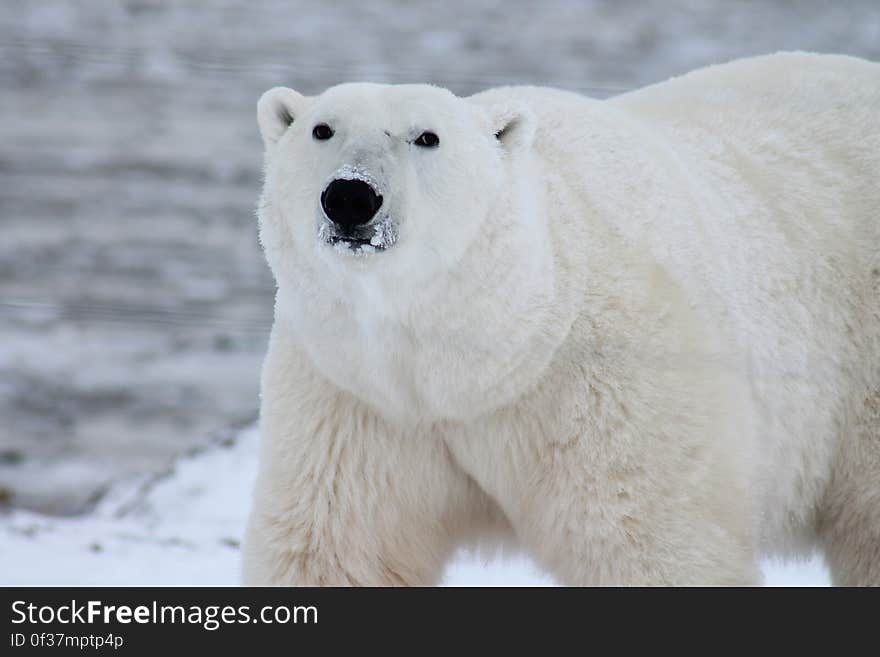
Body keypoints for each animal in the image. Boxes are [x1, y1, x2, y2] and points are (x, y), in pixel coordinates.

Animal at [241, 52, 880, 584]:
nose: (351, 196)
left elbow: (650, 543)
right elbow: (338, 548)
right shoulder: (358, 398)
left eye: (427, 136)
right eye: (322, 129)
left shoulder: (608, 388)